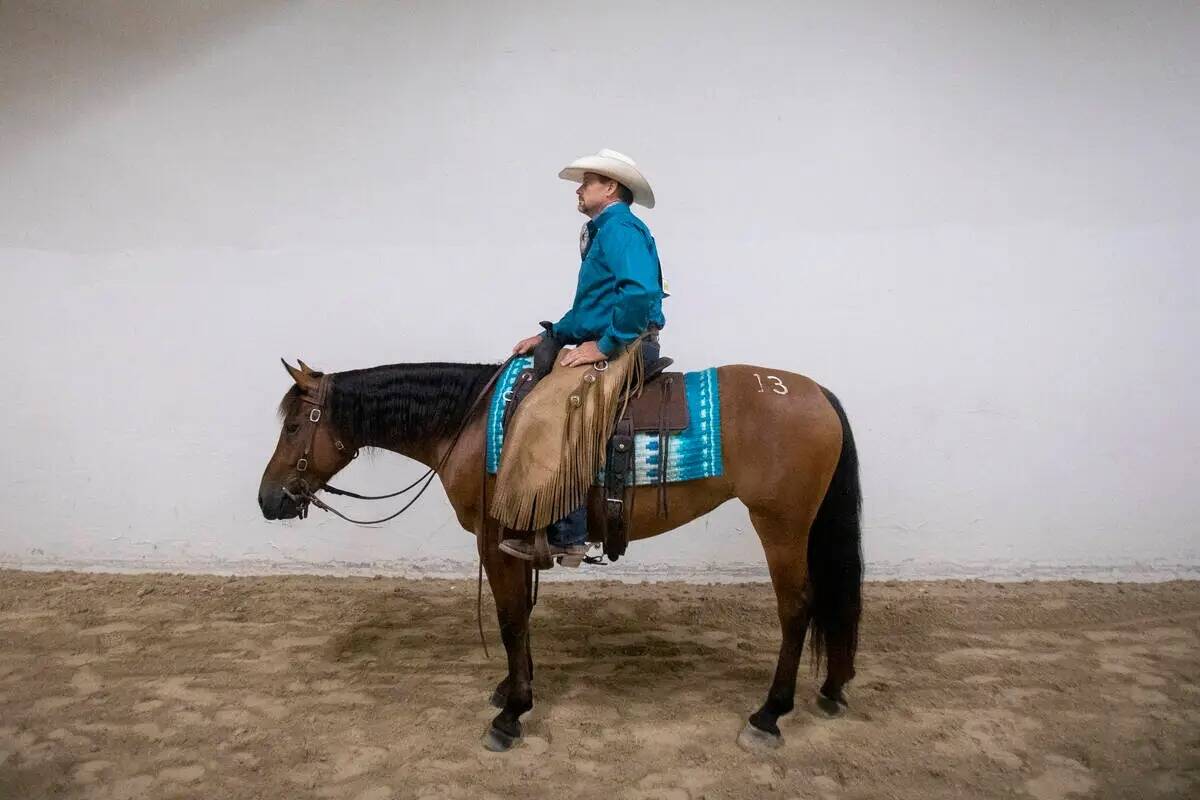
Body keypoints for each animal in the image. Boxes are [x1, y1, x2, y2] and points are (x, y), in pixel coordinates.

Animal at [260, 357, 864, 753]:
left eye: (291, 426)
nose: (269, 499)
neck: (472, 425)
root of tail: (815, 392)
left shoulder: (495, 542)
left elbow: (509, 619)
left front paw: (512, 714)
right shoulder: (514, 546)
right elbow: (521, 618)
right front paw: (511, 689)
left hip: (780, 524)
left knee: (796, 608)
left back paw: (769, 714)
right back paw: (831, 689)